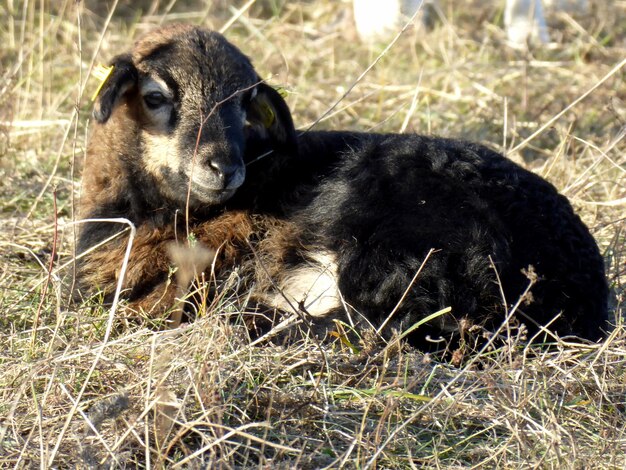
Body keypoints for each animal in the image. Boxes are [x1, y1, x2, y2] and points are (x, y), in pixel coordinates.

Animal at [77, 24, 604, 348]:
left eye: (245, 105)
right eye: (155, 97)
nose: (223, 167)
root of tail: (582, 300)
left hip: (392, 225)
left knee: (371, 324)